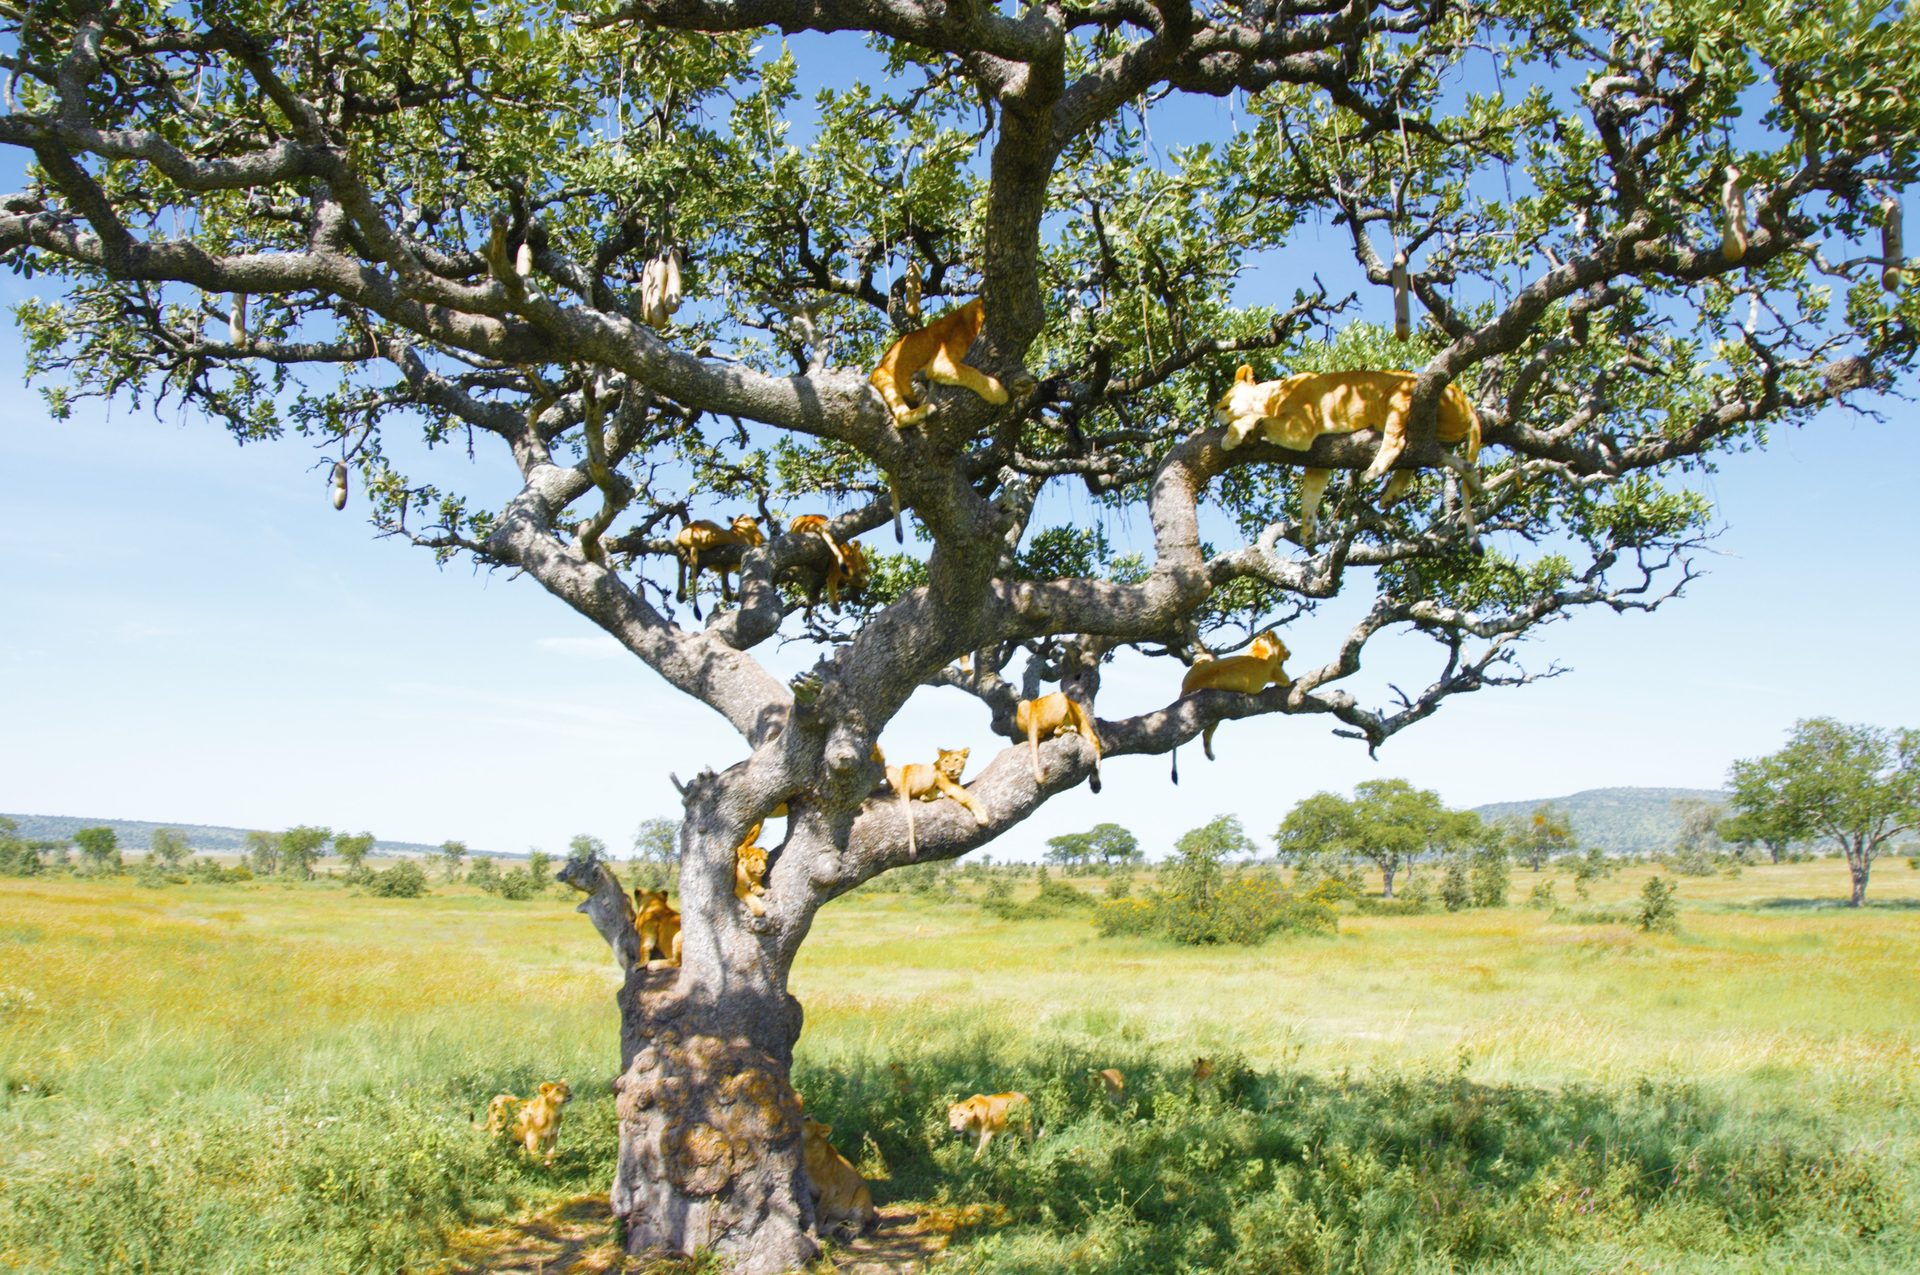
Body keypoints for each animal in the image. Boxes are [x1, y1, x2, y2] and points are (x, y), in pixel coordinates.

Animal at [1172, 630, 1291, 783]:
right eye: (1284, 645)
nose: (1290, 653)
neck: (1261, 646)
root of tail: (1190, 684)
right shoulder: (1278, 672)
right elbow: (1287, 681)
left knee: (1206, 734)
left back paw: (1209, 755)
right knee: (1207, 733)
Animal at [1214, 366, 1482, 542]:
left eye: (1225, 397)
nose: (1214, 410)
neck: (1272, 395)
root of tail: (1466, 401)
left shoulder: (1300, 428)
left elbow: (1257, 418)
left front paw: (1232, 435)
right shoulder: (1317, 459)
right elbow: (1311, 494)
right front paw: (1307, 530)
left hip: (1400, 393)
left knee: (1397, 442)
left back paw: (1372, 473)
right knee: (1413, 458)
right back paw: (1390, 497)